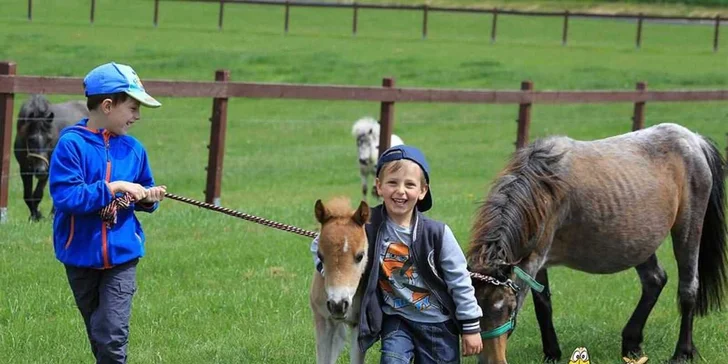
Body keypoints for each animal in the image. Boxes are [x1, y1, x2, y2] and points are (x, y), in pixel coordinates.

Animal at [470, 123, 724, 364]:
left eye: (508, 308)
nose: (489, 359)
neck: (545, 188)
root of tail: (695, 140)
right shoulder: (534, 261)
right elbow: (543, 304)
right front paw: (551, 353)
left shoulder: (534, 259)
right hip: (638, 241)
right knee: (655, 280)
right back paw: (631, 343)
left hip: (688, 228)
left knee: (687, 288)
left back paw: (682, 352)